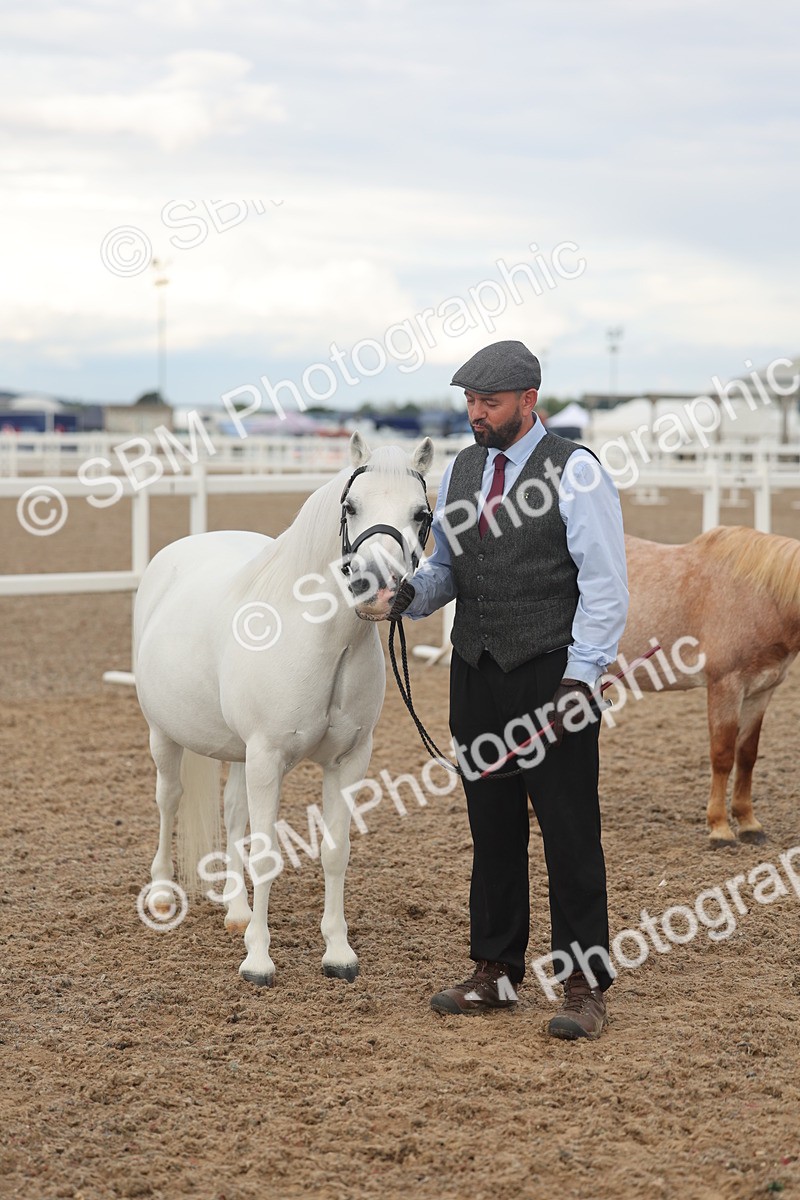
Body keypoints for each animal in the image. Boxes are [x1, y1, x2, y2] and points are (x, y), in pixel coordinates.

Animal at [134, 432, 434, 985]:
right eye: (350, 507)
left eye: (421, 513)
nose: (379, 588)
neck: (323, 641)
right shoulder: (268, 758)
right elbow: (268, 855)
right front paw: (258, 960)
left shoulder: (347, 762)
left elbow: (335, 852)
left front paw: (338, 952)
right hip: (163, 734)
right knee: (168, 800)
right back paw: (163, 894)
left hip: (237, 753)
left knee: (233, 814)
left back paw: (236, 910)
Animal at [618, 525, 800, 846]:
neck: (763, 598)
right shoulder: (725, 687)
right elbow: (723, 755)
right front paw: (720, 829)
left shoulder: (761, 692)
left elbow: (747, 755)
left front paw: (749, 824)